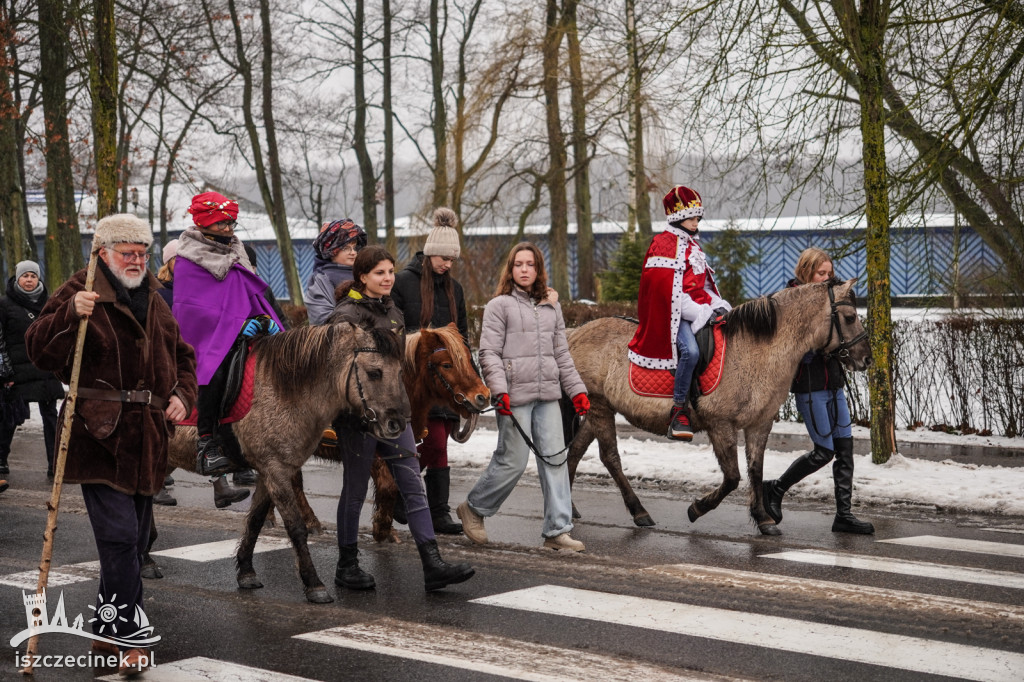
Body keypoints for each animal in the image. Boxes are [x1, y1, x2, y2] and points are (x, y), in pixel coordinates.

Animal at [565, 276, 868, 532]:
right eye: (850, 317)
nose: (864, 358)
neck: (755, 350)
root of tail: (574, 334)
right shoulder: (720, 424)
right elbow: (733, 476)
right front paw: (698, 508)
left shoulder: (760, 424)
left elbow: (755, 470)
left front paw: (763, 518)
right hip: (599, 405)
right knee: (610, 458)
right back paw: (638, 511)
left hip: (596, 408)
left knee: (576, 451)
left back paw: (570, 508)